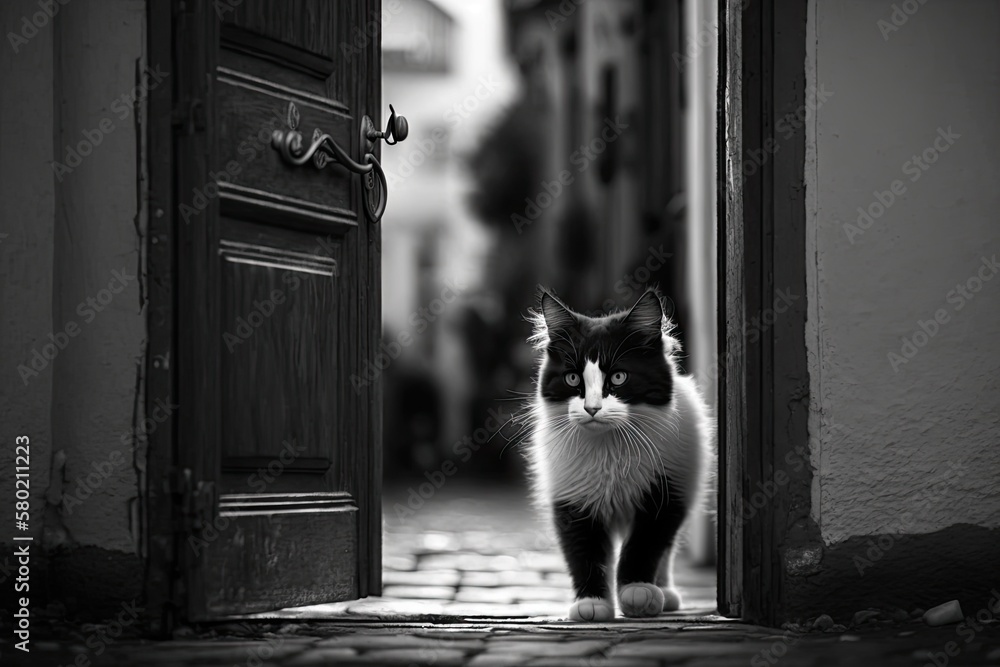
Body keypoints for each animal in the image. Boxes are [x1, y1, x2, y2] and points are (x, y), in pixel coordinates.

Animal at [524, 288, 712, 620]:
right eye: (573, 379)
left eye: (619, 378)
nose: (592, 408)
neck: (611, 450)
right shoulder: (572, 499)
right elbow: (585, 553)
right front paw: (592, 603)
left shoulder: (666, 494)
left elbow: (643, 547)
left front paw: (637, 591)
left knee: (666, 551)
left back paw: (664, 592)